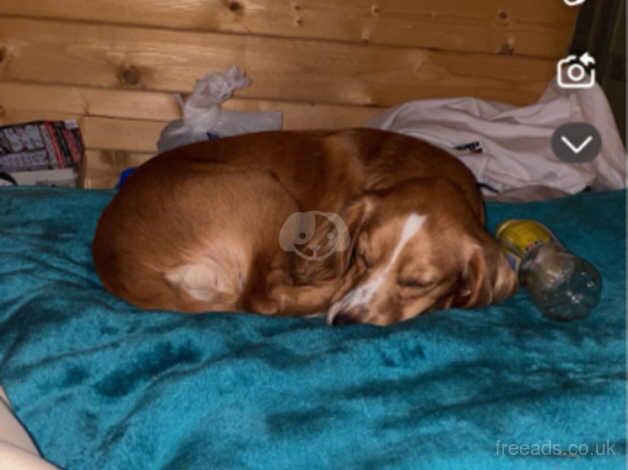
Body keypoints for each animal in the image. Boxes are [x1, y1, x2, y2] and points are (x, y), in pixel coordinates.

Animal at [92, 129, 516, 326]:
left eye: (417, 283)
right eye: (360, 258)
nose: (345, 321)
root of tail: (117, 261)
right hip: (265, 190)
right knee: (261, 298)